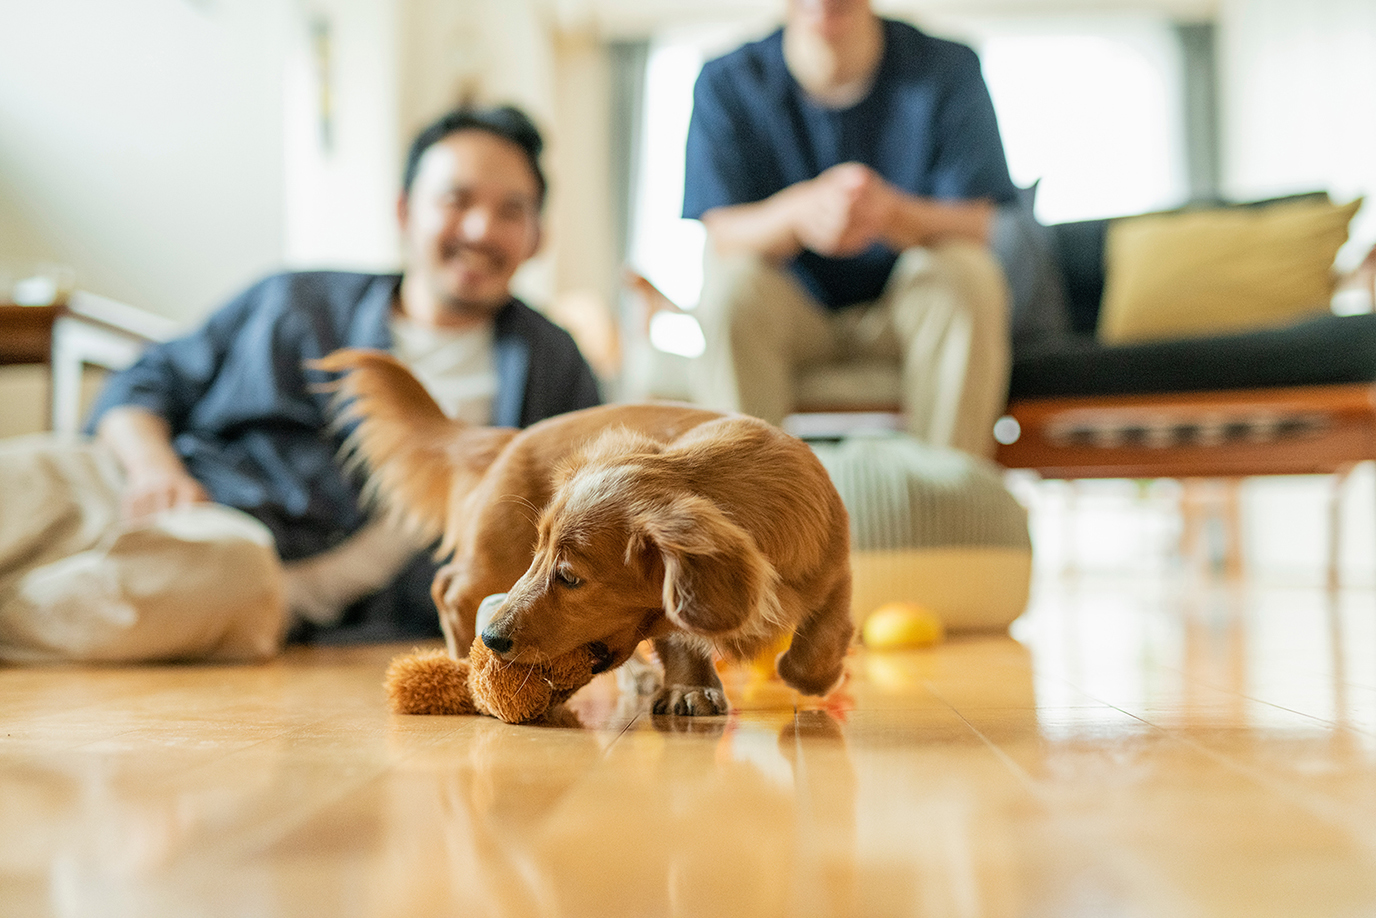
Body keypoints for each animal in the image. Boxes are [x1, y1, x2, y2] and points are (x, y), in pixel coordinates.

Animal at [315, 348, 847, 715]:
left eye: (570, 578)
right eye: (541, 560)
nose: (492, 639)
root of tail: (511, 437)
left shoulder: (833, 567)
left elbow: (825, 630)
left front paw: (814, 677)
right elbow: (681, 637)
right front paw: (691, 688)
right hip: (495, 558)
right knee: (449, 588)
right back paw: (461, 661)